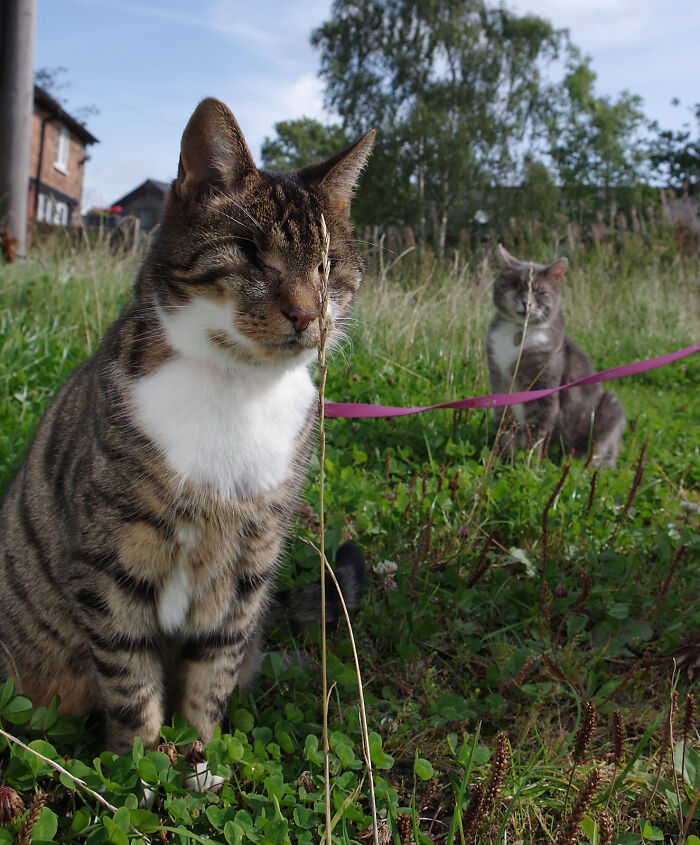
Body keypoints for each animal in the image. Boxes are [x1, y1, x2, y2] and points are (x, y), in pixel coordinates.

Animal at [0, 99, 374, 752]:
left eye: (328, 268)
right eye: (250, 252)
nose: (307, 314)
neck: (236, 387)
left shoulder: (249, 568)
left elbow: (212, 676)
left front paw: (203, 758)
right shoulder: (111, 562)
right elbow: (131, 685)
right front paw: (141, 765)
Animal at [486, 244, 624, 468]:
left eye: (540, 291)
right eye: (516, 285)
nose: (526, 303)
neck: (519, 332)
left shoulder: (545, 387)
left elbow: (537, 433)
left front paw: (529, 466)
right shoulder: (499, 382)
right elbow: (505, 429)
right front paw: (502, 461)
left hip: (611, 409)